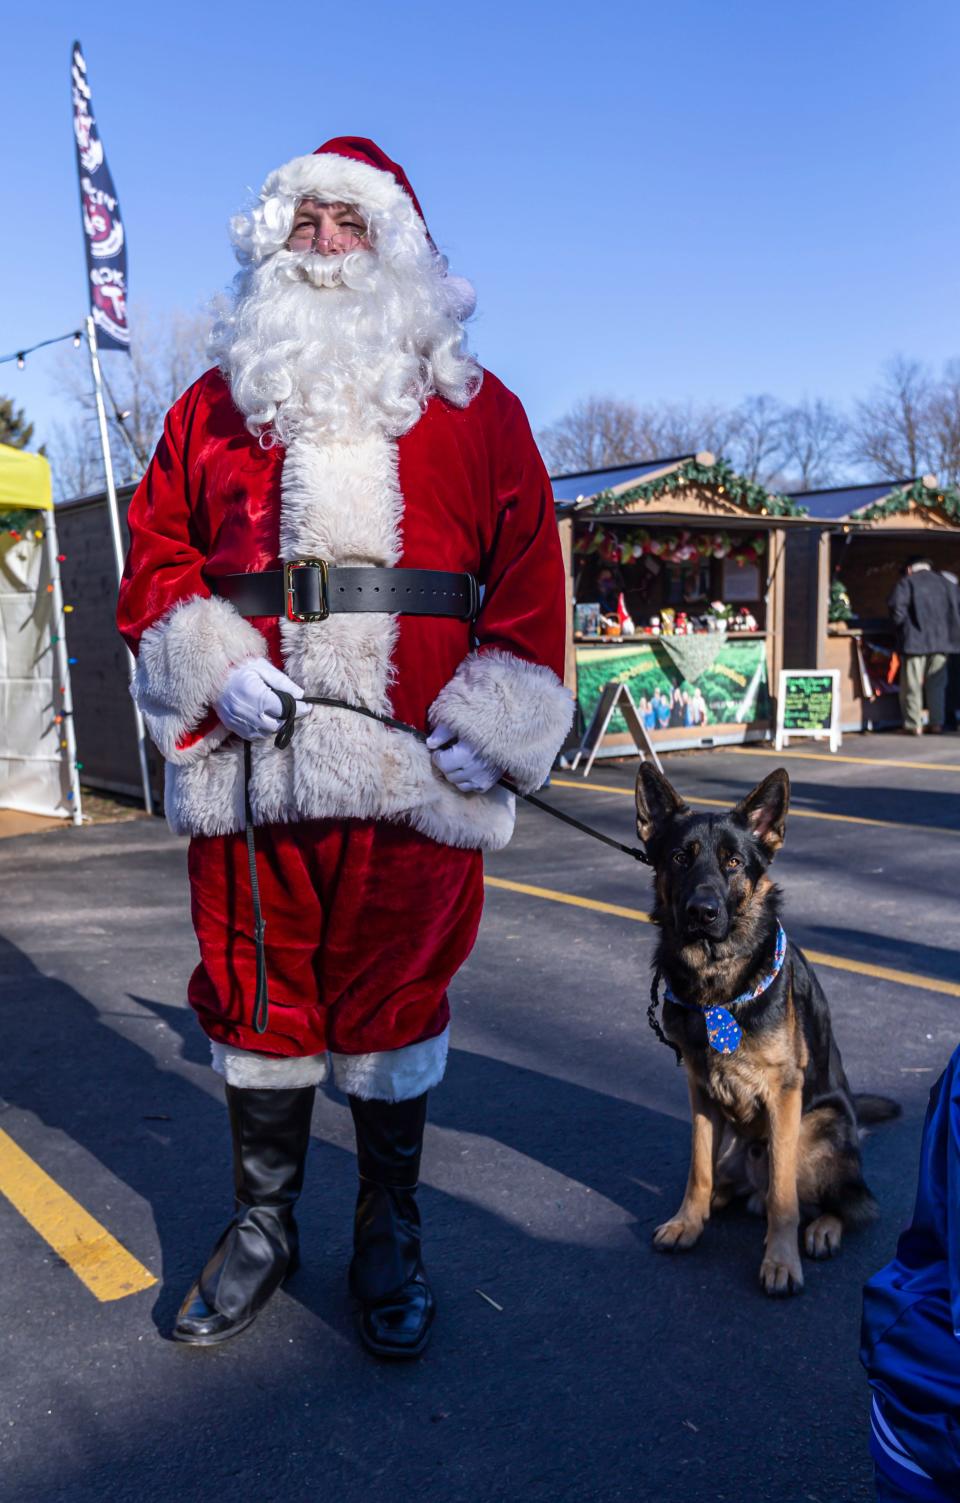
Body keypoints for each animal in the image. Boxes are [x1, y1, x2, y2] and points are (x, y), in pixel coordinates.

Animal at [633, 763, 895, 1292]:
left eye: (733, 862)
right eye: (679, 858)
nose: (702, 912)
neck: (717, 985)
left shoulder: (784, 1094)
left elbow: (782, 1197)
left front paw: (780, 1260)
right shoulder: (699, 1090)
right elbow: (697, 1170)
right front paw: (687, 1222)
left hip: (819, 1127)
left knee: (847, 1203)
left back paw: (822, 1229)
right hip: (732, 1139)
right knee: (728, 1182)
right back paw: (716, 1204)